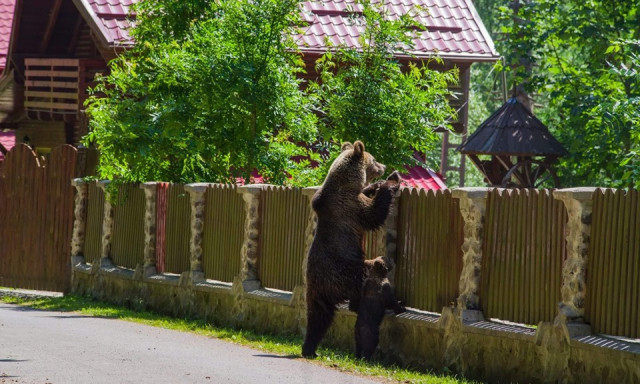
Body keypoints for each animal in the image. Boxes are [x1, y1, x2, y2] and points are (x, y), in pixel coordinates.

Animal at [302, 140, 400, 356]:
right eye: (374, 159)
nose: (383, 166)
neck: (346, 184)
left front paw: (374, 185)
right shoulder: (350, 207)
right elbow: (373, 213)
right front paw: (391, 181)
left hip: (318, 293)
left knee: (318, 317)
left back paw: (309, 348)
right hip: (349, 272)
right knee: (368, 279)